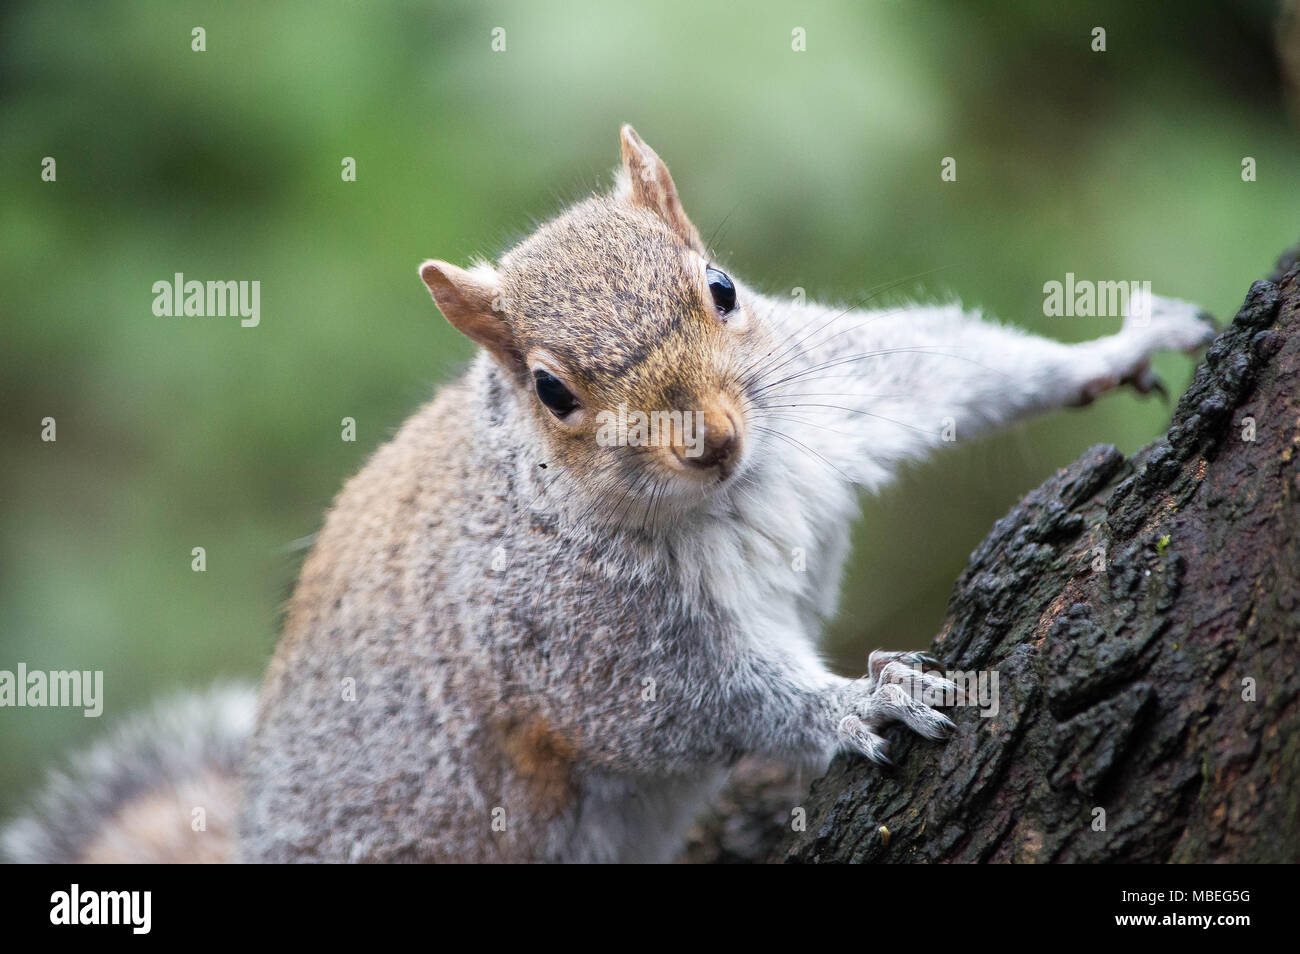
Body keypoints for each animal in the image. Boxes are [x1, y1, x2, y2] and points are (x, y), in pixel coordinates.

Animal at [2, 127, 1216, 868]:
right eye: (551, 391)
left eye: (721, 288)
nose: (713, 440)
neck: (730, 495)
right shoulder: (572, 633)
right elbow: (679, 704)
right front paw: (851, 706)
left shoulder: (832, 388)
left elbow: (951, 368)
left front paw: (1111, 350)